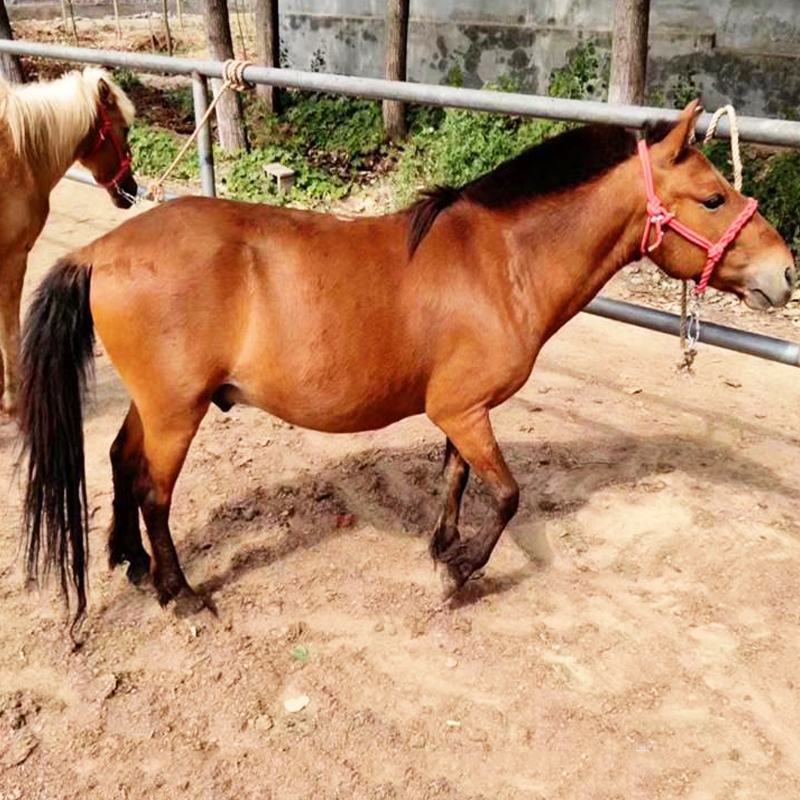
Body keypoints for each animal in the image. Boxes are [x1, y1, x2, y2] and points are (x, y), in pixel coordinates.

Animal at [0, 67, 136, 415]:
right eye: (125, 129)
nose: (130, 189)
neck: (20, 155)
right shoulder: (13, 258)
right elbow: (10, 327)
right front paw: (14, 398)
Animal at [17, 100, 795, 627]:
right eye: (714, 197)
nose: (785, 274)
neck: (501, 263)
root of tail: (101, 251)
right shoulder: (463, 408)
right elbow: (507, 494)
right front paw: (462, 572)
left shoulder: (461, 409)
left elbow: (457, 477)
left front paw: (443, 546)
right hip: (177, 411)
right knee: (153, 491)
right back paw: (179, 592)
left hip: (154, 404)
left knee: (120, 462)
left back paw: (132, 563)